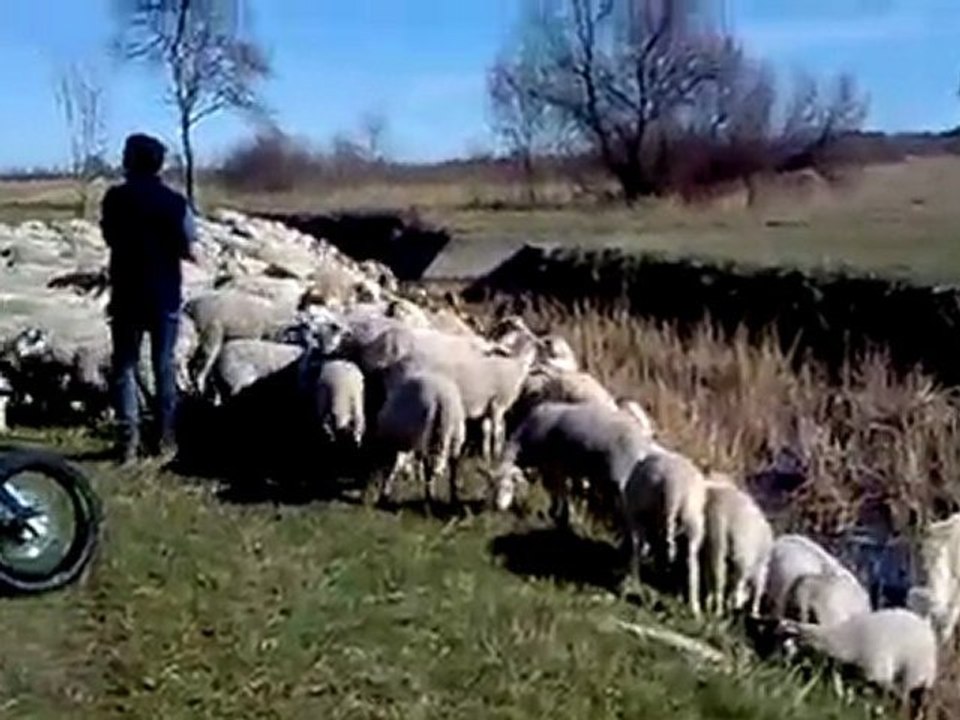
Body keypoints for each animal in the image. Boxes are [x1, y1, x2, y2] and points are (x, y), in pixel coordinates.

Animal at [371, 361, 466, 510]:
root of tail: (439, 397)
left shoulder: (393, 445)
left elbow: (390, 468)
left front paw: (384, 495)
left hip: (422, 436)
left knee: (428, 465)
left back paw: (429, 499)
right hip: (456, 434)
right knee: (452, 464)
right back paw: (453, 498)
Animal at [622, 447, 708, 617]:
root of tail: (674, 487)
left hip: (640, 514)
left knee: (638, 547)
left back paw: (635, 585)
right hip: (692, 522)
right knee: (690, 563)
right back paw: (693, 607)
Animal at [774, 609, 938, 717]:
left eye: (787, 635)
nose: (782, 660)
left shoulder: (879, 673)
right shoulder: (856, 674)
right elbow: (849, 690)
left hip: (913, 672)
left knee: (905, 698)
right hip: (921, 678)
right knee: (918, 701)